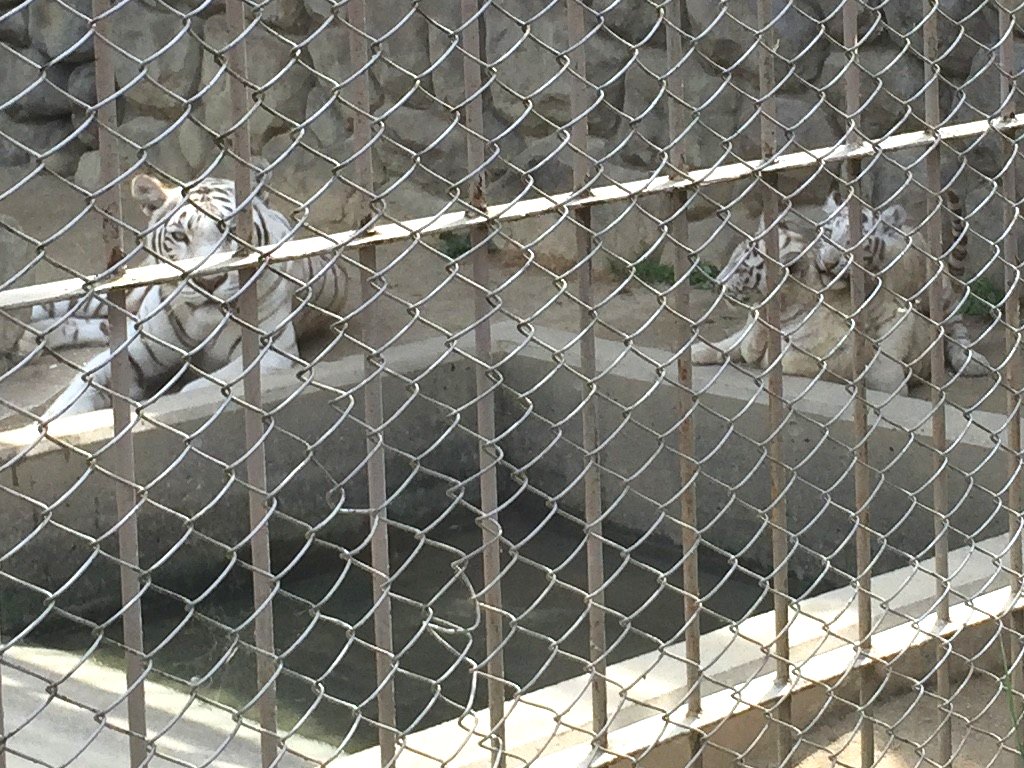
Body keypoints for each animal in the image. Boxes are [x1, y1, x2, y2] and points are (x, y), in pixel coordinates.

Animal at [33, 174, 348, 421]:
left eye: (234, 231)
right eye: (179, 236)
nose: (208, 280)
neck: (202, 322)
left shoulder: (273, 353)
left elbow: (206, 386)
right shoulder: (133, 349)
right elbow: (82, 384)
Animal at [692, 192, 987, 397]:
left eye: (742, 269)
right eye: (732, 258)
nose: (717, 283)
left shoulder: (891, 315)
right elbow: (733, 342)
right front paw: (700, 350)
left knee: (953, 324)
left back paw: (969, 360)